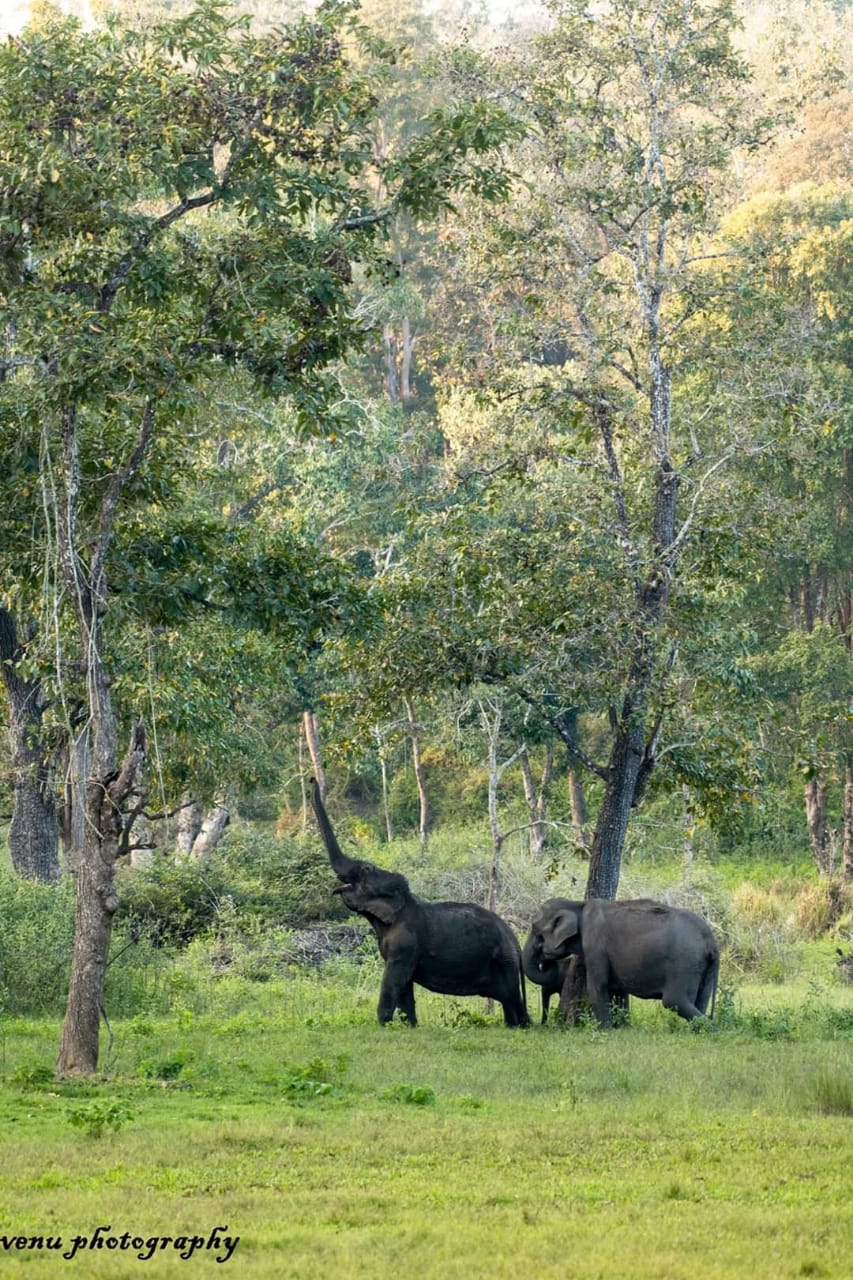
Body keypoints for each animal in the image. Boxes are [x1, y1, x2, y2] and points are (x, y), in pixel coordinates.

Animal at [308, 768, 527, 1029]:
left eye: (365, 871)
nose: (311, 779)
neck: (404, 900)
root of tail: (515, 941)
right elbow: (404, 987)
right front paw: (410, 1026)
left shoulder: (405, 944)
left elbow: (394, 979)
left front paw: (383, 1024)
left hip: (504, 963)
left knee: (511, 998)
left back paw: (520, 1026)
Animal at [522, 901, 712, 1029]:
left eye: (535, 930)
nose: (545, 959)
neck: (578, 905)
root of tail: (711, 941)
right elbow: (618, 989)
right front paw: (621, 1027)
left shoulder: (595, 946)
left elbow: (597, 986)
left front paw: (604, 1029)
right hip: (704, 966)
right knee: (701, 999)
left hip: (683, 965)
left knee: (674, 1000)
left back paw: (711, 1031)